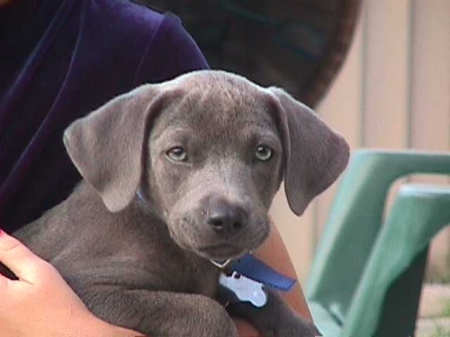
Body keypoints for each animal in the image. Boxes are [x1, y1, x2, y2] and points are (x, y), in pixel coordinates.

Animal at [13, 69, 348, 334]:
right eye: (177, 152)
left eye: (263, 152)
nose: (227, 218)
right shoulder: (85, 286)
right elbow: (207, 310)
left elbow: (263, 297)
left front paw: (299, 327)